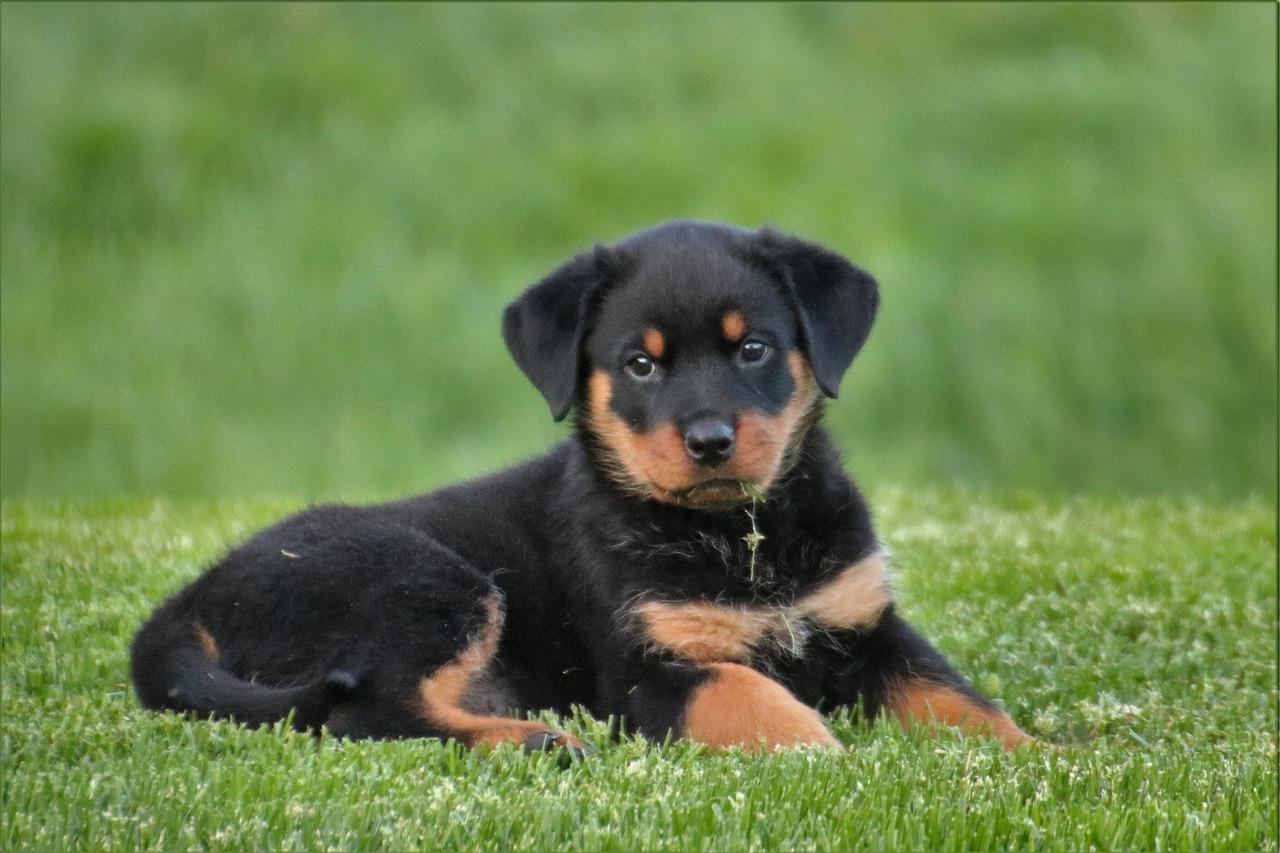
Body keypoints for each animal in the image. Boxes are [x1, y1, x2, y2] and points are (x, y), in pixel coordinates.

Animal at [127, 220, 1029, 753]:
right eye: (640, 364)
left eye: (754, 350)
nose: (710, 440)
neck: (741, 536)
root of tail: (189, 595)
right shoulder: (645, 669)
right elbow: (749, 692)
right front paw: (828, 755)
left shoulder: (868, 627)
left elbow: (964, 703)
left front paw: (1044, 759)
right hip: (425, 583)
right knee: (364, 712)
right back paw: (539, 742)